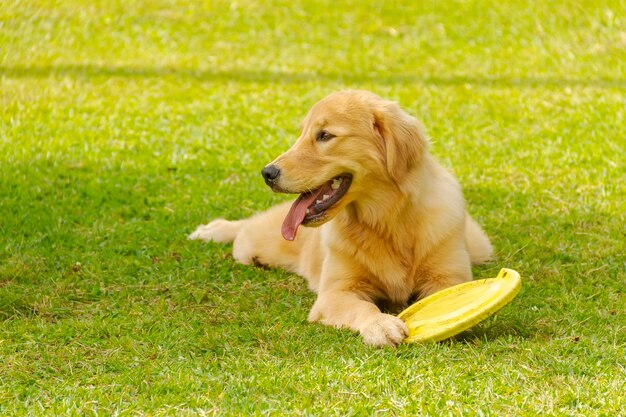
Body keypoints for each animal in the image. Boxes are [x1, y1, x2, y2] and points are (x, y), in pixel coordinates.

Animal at [188, 90, 490, 344]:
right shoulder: (336, 293)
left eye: (324, 135)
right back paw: (212, 230)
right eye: (302, 134)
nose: (267, 173)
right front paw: (380, 324)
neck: (386, 221)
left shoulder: (448, 278)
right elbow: (363, 306)